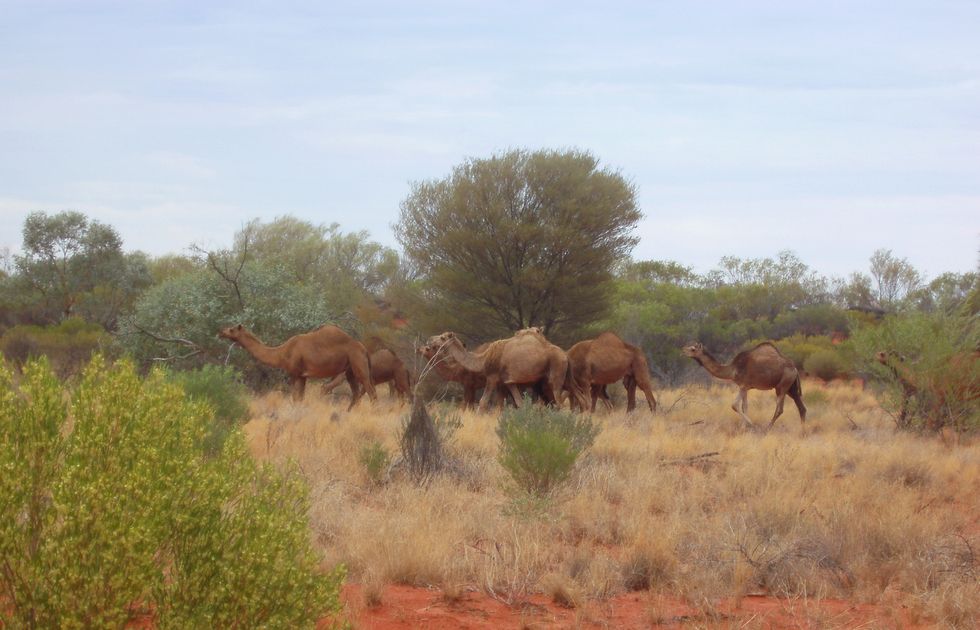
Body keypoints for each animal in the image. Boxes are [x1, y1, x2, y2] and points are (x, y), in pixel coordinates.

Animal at [218, 324, 377, 409]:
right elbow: (300, 398)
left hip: (359, 364)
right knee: (356, 394)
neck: (281, 352)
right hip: (350, 370)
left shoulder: (294, 373)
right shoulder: (302, 376)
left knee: (371, 392)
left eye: (232, 329)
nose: (221, 332)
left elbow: (295, 397)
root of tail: (364, 349)